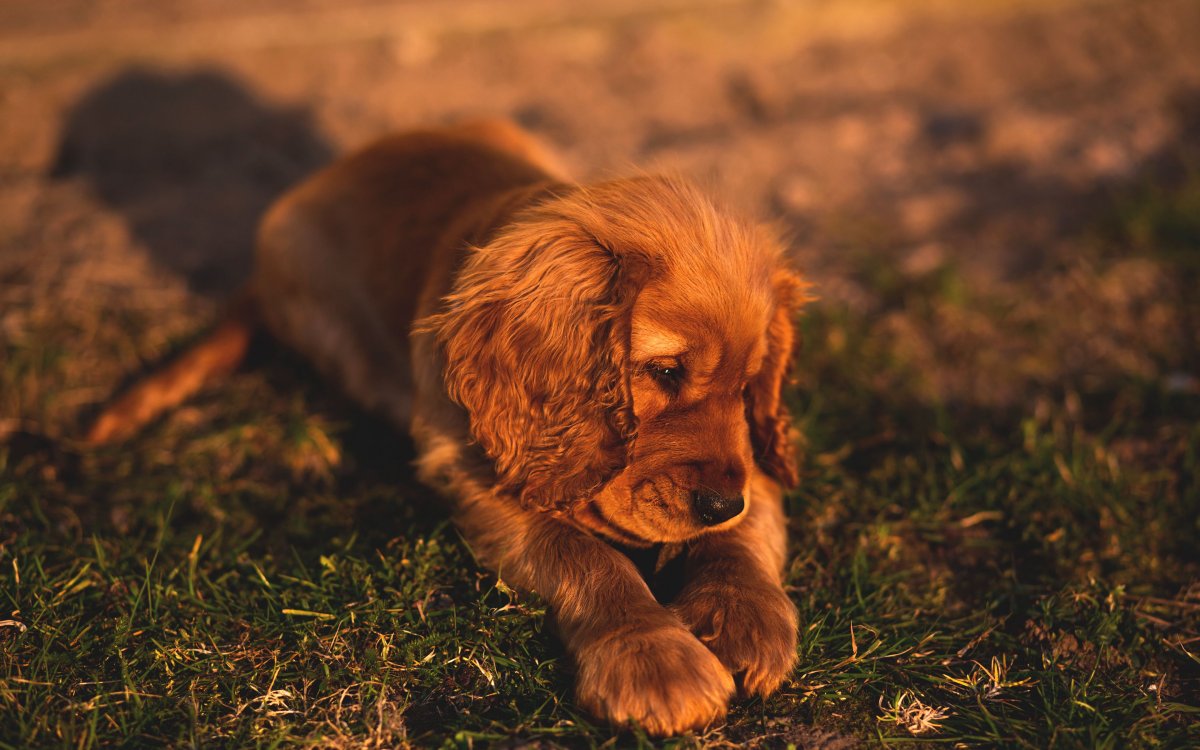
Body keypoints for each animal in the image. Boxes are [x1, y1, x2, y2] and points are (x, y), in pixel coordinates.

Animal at [88, 120, 811, 734]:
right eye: (663, 371)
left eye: (749, 386)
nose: (716, 502)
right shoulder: (470, 469)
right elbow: (584, 554)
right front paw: (654, 660)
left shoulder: (752, 461)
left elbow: (747, 523)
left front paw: (744, 615)